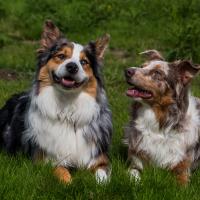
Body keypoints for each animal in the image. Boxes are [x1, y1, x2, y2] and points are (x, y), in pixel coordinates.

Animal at [0, 20, 112, 184]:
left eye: (83, 62)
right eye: (61, 56)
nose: (72, 67)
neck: (67, 105)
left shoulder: (98, 157)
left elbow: (102, 175)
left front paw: (100, 184)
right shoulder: (45, 159)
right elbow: (61, 171)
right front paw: (70, 182)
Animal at [123, 49, 200, 184]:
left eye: (157, 73)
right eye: (142, 66)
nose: (127, 70)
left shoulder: (183, 169)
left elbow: (181, 183)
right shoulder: (135, 161)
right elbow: (134, 174)